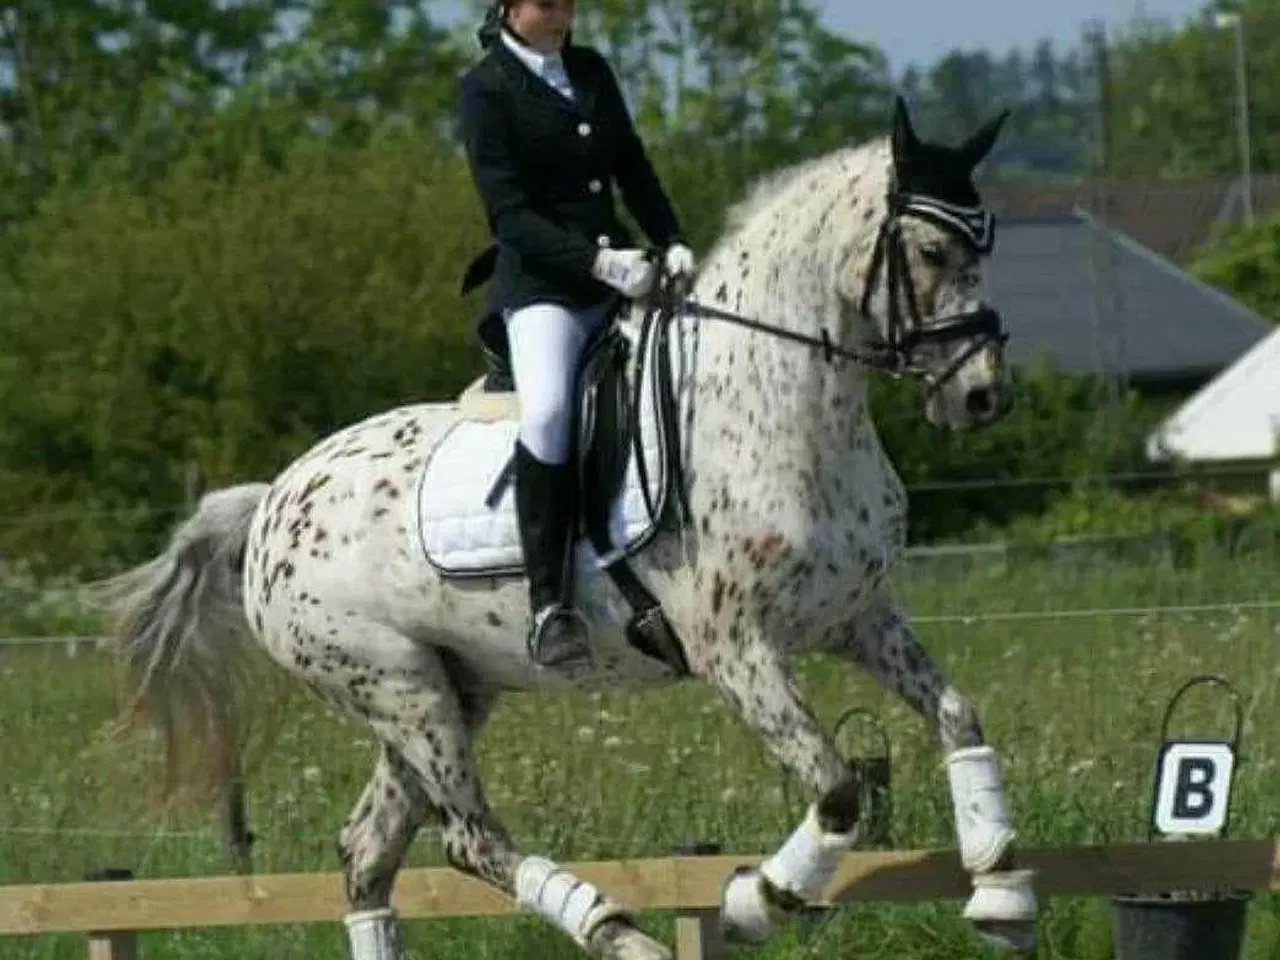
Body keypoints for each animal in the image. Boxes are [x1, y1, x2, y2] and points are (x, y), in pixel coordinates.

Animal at [97, 97, 1036, 960]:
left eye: (986, 245)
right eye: (931, 251)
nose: (982, 395)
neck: (779, 407)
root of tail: (271, 504)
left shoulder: (855, 617)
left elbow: (959, 717)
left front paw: (1000, 890)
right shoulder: (736, 650)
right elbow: (839, 791)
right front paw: (750, 904)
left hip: (444, 691)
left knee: (369, 853)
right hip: (399, 686)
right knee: (469, 838)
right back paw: (621, 933)